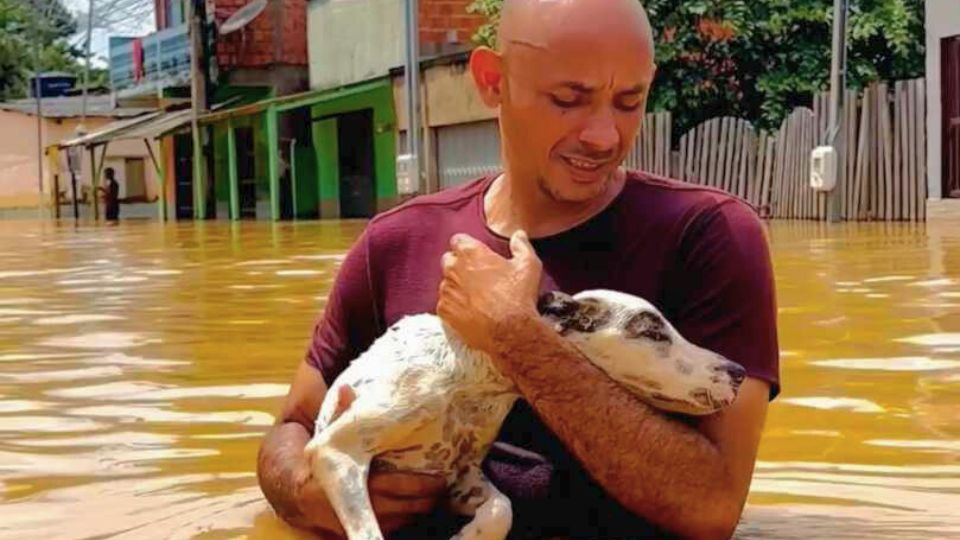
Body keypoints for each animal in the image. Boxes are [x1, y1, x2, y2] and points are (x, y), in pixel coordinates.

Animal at [304, 292, 748, 540]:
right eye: (652, 332)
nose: (739, 371)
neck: (471, 374)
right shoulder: (335, 450)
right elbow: (368, 532)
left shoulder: (458, 474)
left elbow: (502, 510)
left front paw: (468, 537)